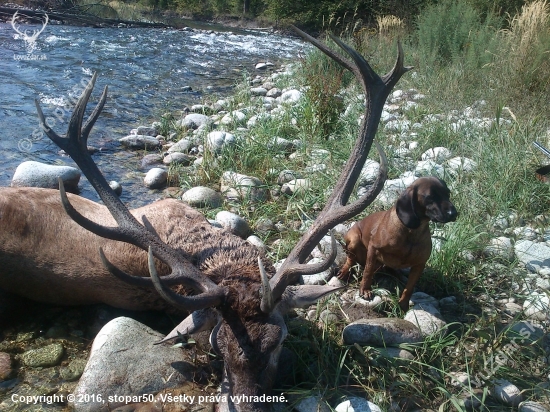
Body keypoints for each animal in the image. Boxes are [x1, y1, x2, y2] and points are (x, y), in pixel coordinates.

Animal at [338, 177, 460, 312]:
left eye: (448, 194)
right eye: (430, 197)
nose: (454, 213)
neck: (411, 231)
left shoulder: (420, 264)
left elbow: (409, 288)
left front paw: (403, 305)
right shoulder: (373, 249)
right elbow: (368, 272)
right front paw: (365, 289)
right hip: (354, 240)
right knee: (351, 259)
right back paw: (344, 271)